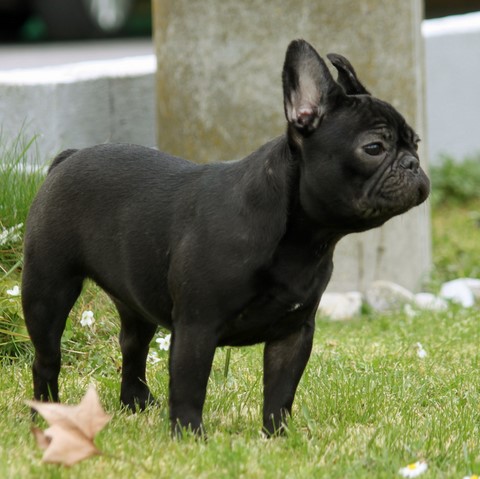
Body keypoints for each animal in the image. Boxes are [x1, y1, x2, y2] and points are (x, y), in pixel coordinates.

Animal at [22, 40, 430, 438]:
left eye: (416, 142)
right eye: (374, 148)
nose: (412, 163)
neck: (301, 239)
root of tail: (68, 157)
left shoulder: (294, 333)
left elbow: (281, 390)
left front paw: (277, 437)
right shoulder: (197, 328)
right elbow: (190, 387)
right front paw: (190, 437)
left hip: (134, 300)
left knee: (133, 347)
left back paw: (136, 403)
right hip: (48, 290)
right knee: (47, 358)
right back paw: (48, 415)